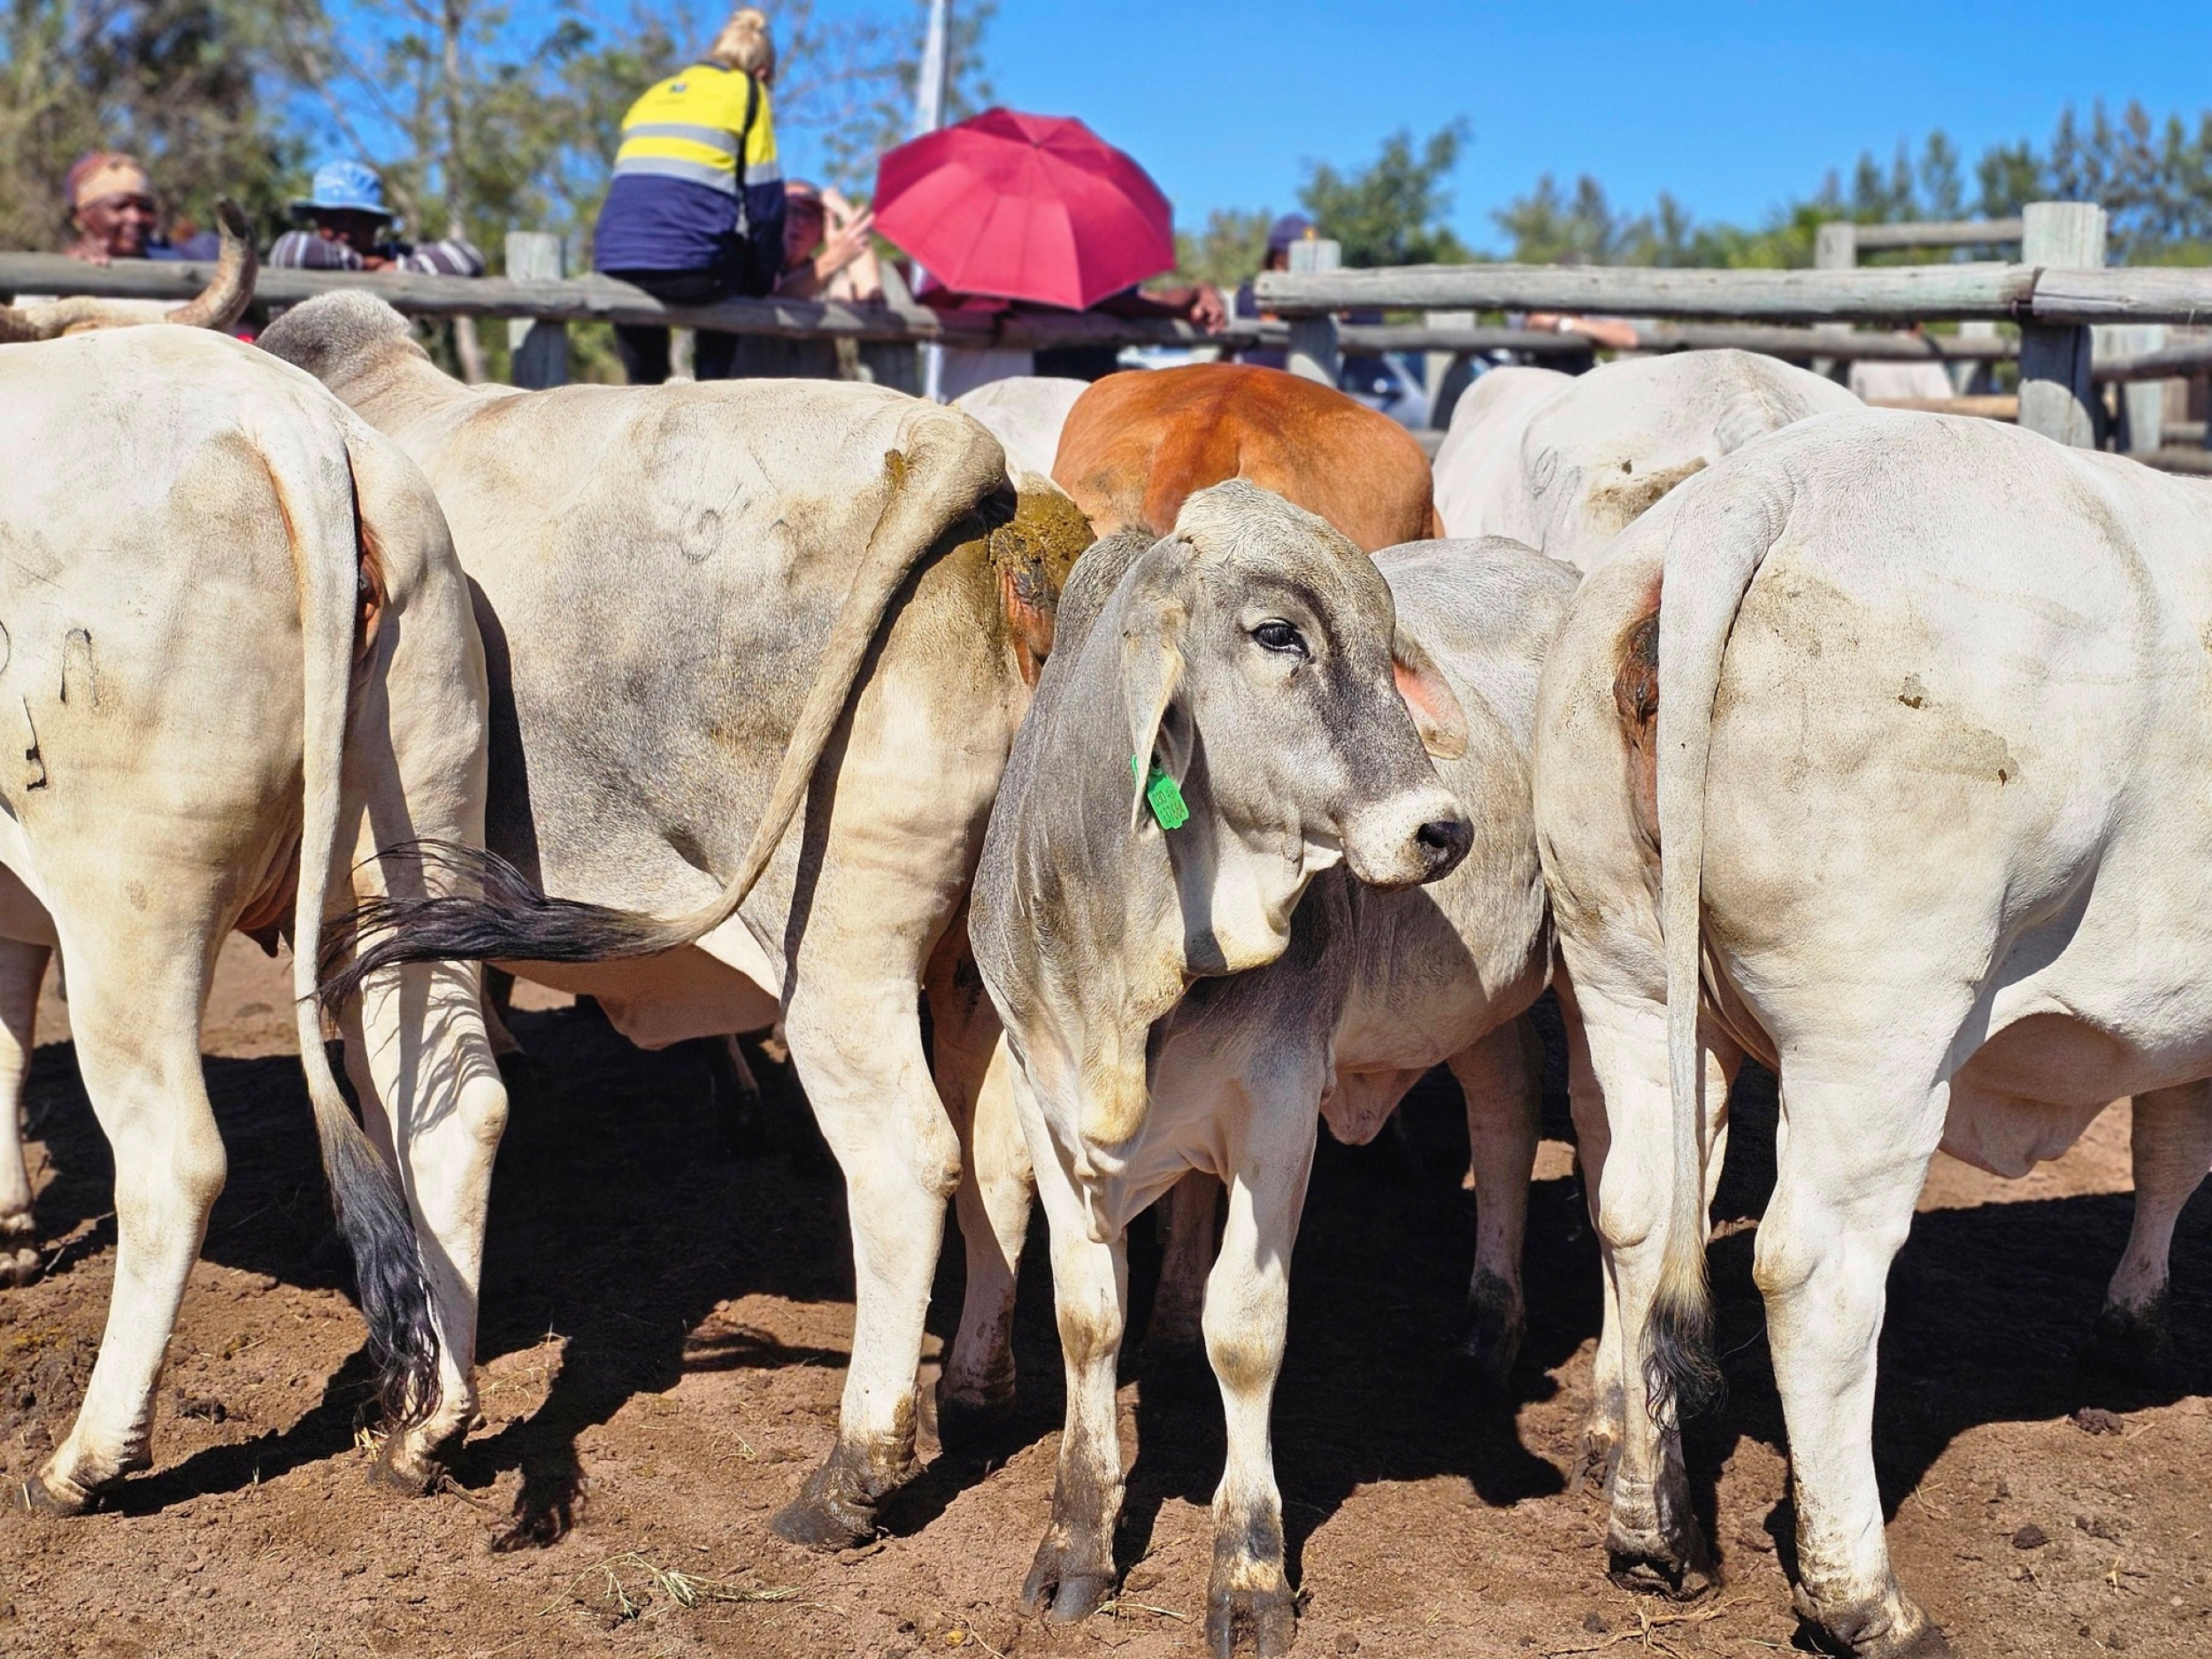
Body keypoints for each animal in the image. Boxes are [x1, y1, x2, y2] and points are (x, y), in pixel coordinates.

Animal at [0, 322, 506, 1511]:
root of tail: (289, 419)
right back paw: (426, 1433)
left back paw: (85, 1462)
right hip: (410, 849)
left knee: (175, 1156)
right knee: (454, 1110)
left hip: (129, 899)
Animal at [261, 291, 1096, 1546]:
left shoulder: (357, 920)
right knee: (999, 1149)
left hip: (837, 959)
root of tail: (959, 454)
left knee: (907, 1161)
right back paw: (974, 1393)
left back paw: (850, 1475)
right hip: (973, 963)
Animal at [969, 482, 1558, 1655]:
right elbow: (1085, 1321)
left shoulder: (1278, 1114)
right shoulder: (1045, 1103)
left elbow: (1242, 1335)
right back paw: (1486, 1329)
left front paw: (1247, 1572)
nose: (1441, 830)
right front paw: (1073, 1547)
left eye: (1387, 646)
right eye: (1279, 634)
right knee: (1506, 1111)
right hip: (1482, 1007)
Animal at [1534, 408, 2212, 1657]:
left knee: (1638, 1216)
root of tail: (1758, 486)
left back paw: (1655, 1536)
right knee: (1814, 1272)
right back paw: (1863, 1602)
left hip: (1627, 976)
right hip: (1881, 1029)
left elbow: (2168, 1148)